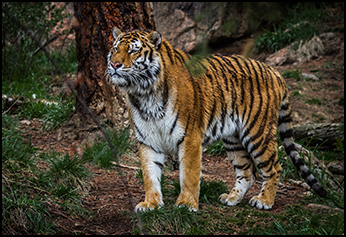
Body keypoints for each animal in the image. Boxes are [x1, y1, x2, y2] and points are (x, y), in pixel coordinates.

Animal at [105, 26, 328, 212]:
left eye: (133, 51)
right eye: (115, 49)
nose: (114, 64)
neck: (145, 93)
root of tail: (274, 71)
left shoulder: (190, 138)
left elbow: (189, 174)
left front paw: (186, 204)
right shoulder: (147, 140)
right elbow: (149, 175)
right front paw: (151, 204)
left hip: (258, 133)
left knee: (274, 168)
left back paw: (264, 201)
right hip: (233, 139)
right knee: (247, 172)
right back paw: (232, 198)